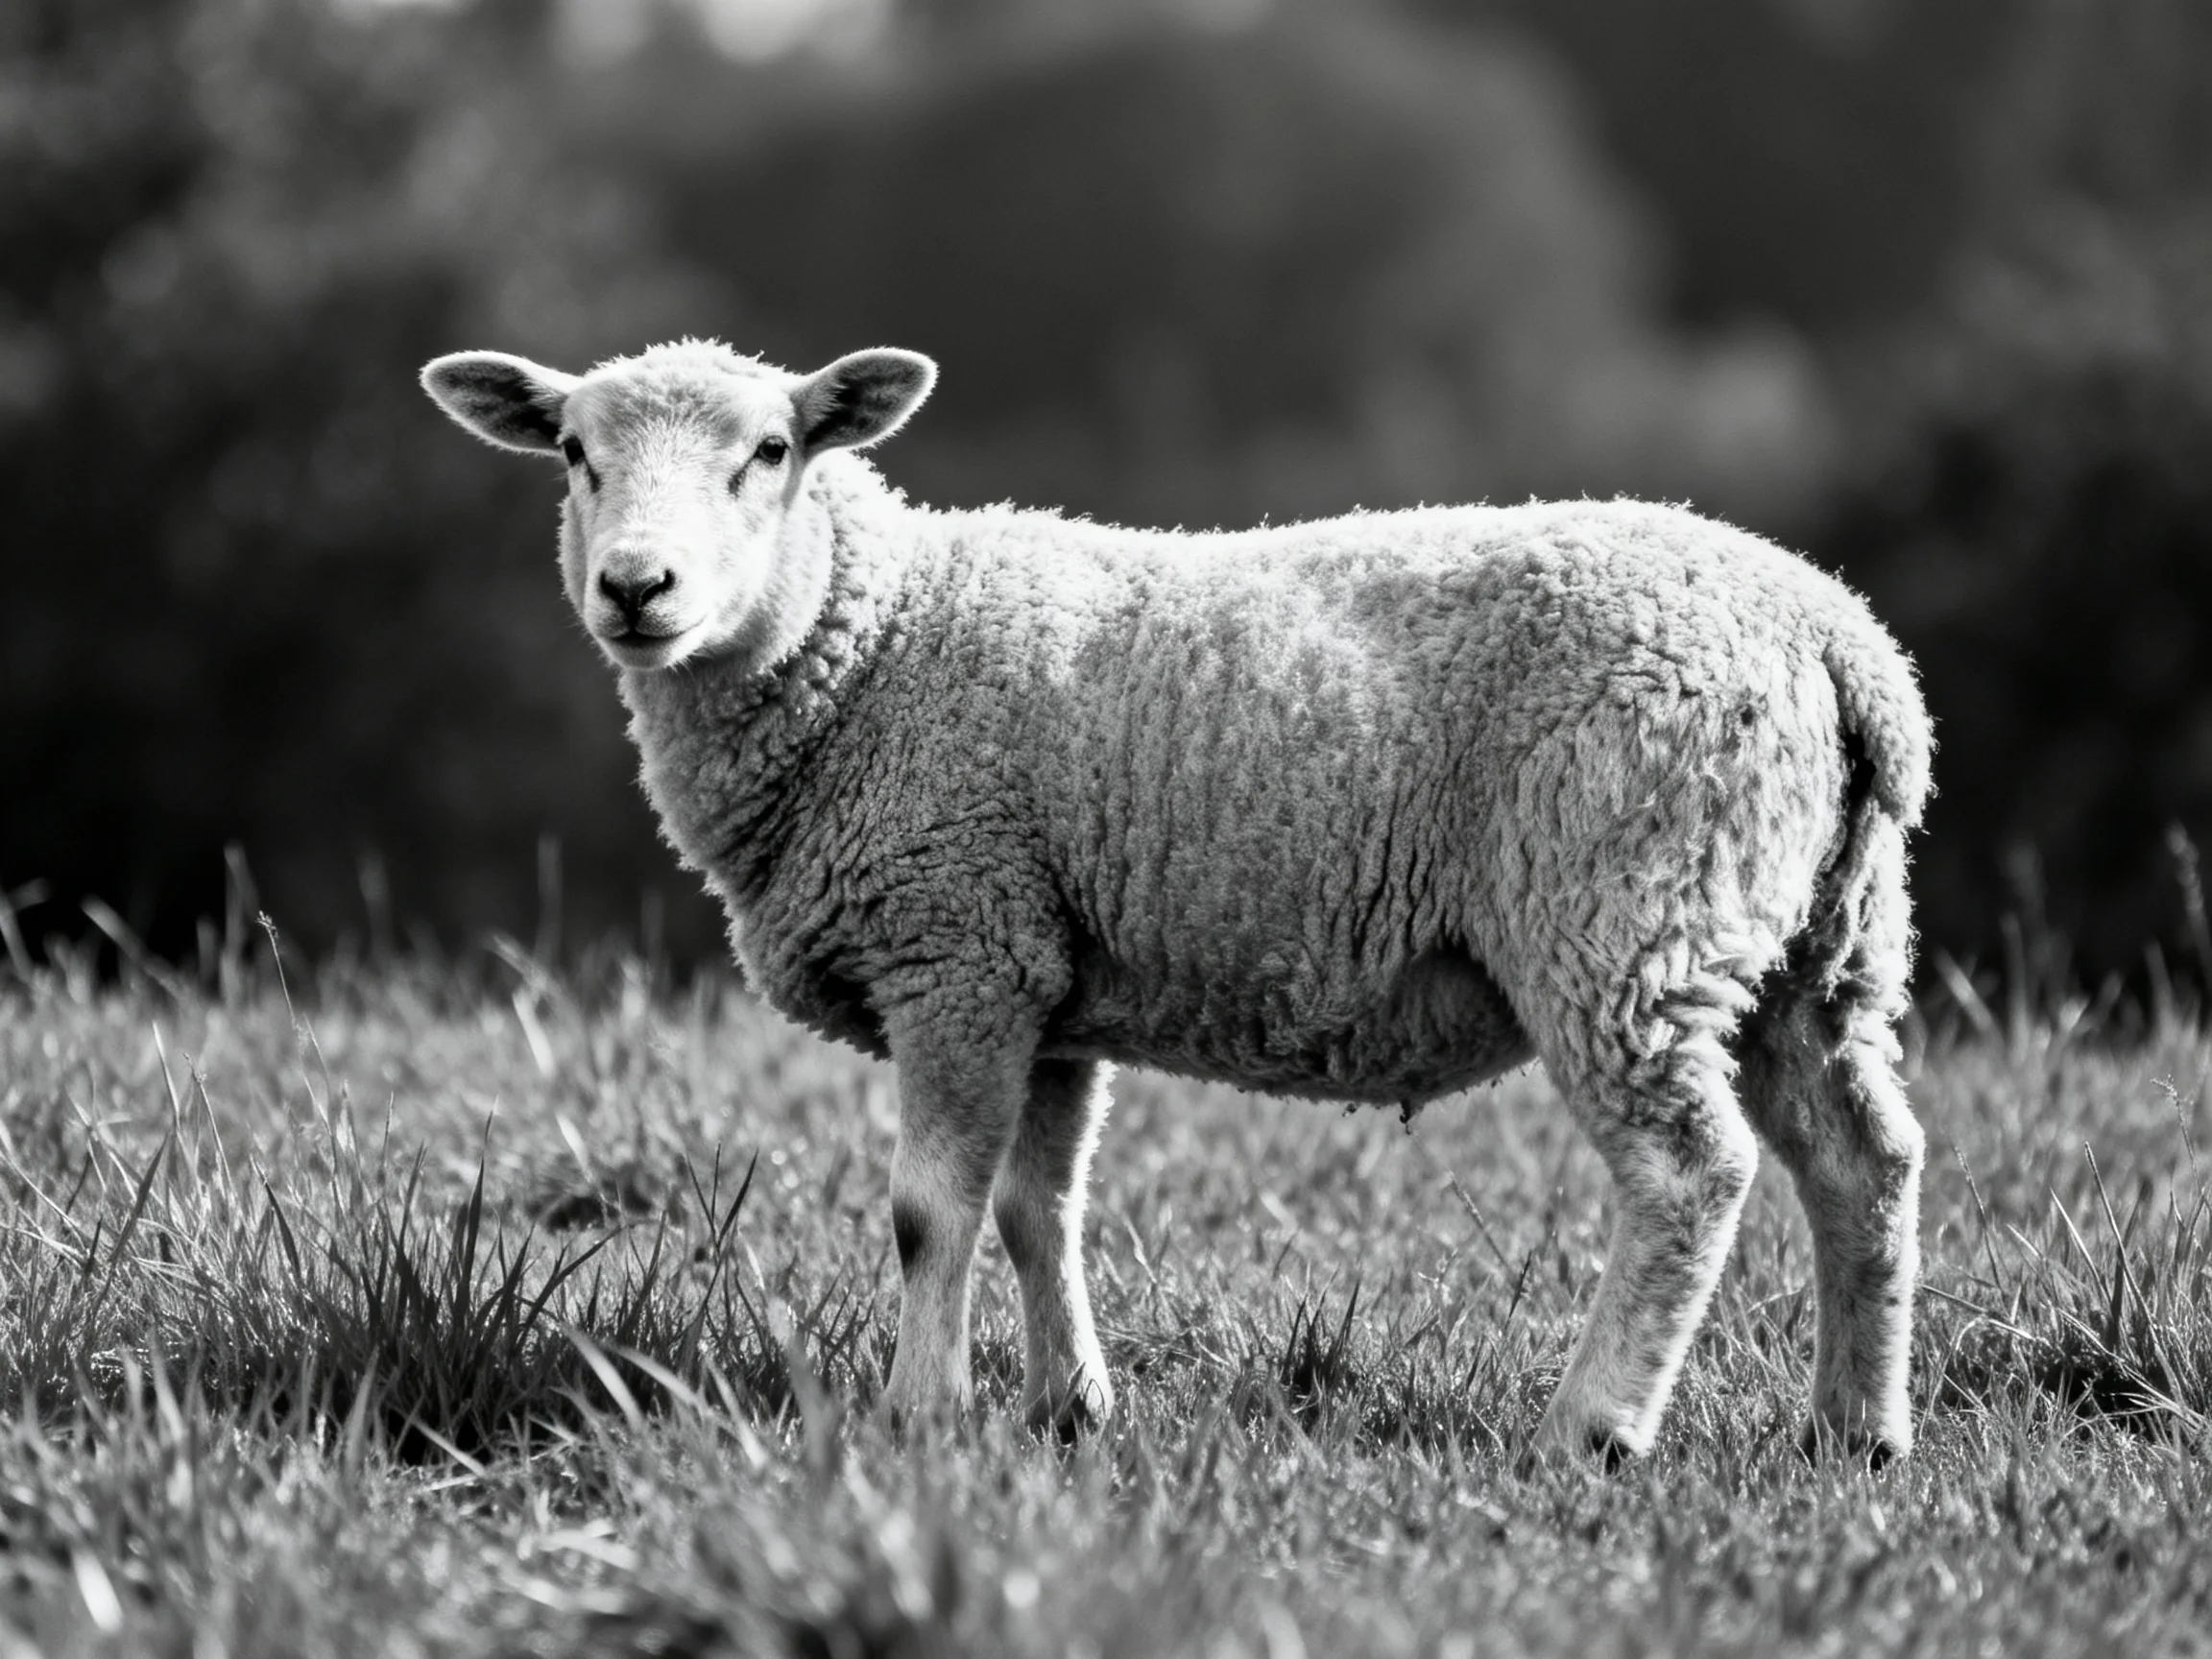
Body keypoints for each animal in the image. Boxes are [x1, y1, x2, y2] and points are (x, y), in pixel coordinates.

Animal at [420, 337, 1932, 1466]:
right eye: (574, 454)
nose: (636, 588)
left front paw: (920, 1417)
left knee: (1692, 1171)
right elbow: (1037, 1208)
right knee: (1860, 1159)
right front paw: (1066, 1411)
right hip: (1818, 940)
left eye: (770, 453)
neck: (876, 646)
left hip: (1624, 913)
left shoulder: (955, 946)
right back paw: (1855, 1432)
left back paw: (1597, 1429)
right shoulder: (1040, 971)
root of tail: (1841, 638)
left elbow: (930, 1211)